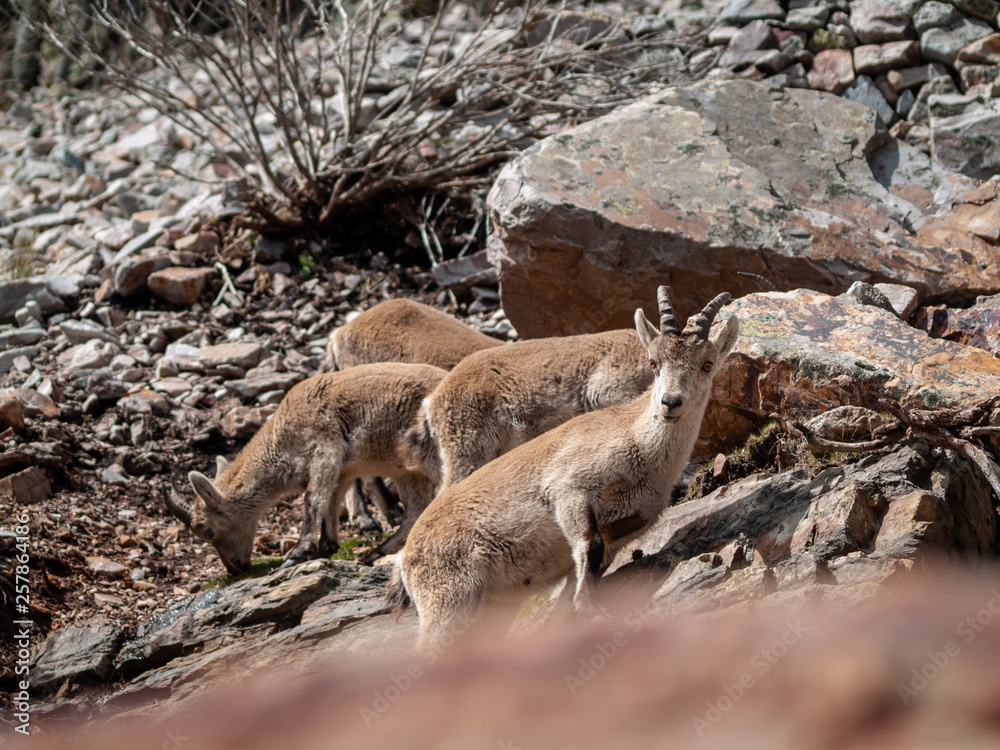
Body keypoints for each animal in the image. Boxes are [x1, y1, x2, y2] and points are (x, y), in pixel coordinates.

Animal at [164, 363, 446, 573]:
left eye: (207, 531)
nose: (235, 569)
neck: (279, 441)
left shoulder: (324, 448)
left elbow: (313, 499)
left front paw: (297, 552)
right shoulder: (344, 469)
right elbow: (331, 501)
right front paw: (326, 546)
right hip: (409, 472)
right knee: (416, 512)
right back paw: (376, 553)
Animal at [390, 288, 738, 653]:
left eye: (707, 364)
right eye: (654, 363)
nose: (670, 403)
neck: (638, 445)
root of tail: (407, 556)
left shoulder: (622, 531)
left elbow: (585, 571)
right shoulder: (568, 491)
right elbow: (588, 547)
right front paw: (593, 613)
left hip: (490, 609)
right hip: (448, 595)